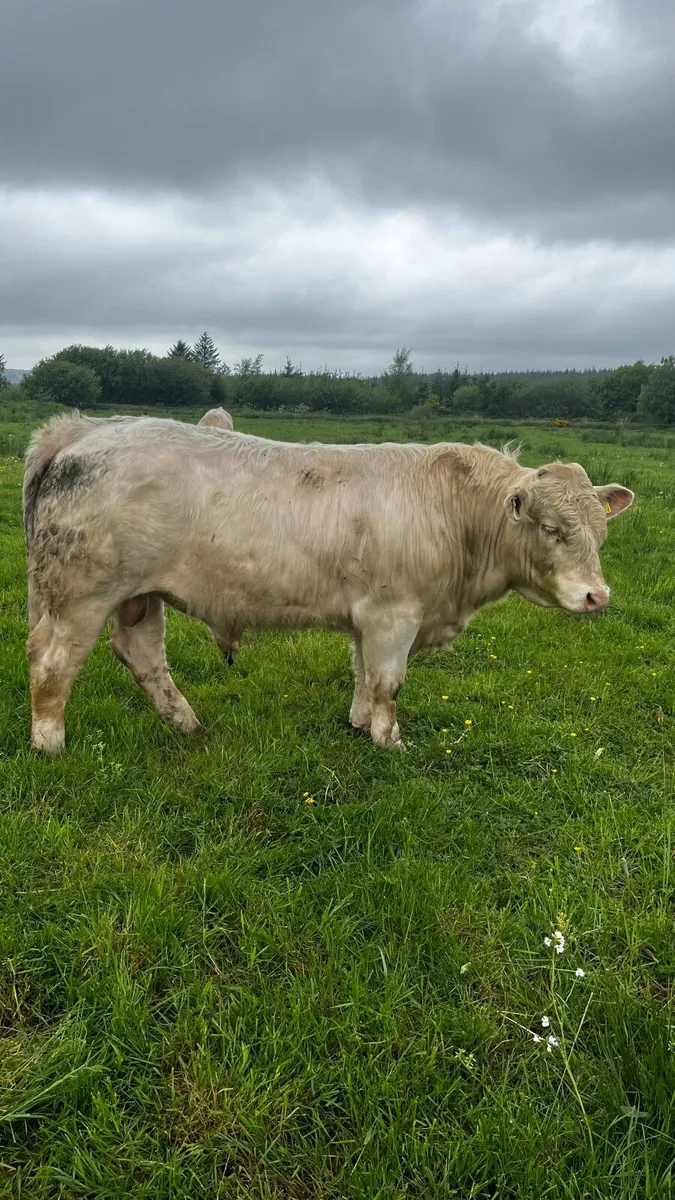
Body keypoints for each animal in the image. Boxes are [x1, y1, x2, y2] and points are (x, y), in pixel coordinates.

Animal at [23, 413, 633, 755]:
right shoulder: (393, 616)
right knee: (53, 661)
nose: (597, 596)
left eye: (601, 532)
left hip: (139, 596)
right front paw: (391, 743)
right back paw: (50, 743)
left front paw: (360, 724)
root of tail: (87, 429)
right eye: (551, 529)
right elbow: (389, 682)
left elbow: (363, 674)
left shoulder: (368, 616)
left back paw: (186, 724)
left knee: (142, 655)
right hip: (80, 594)